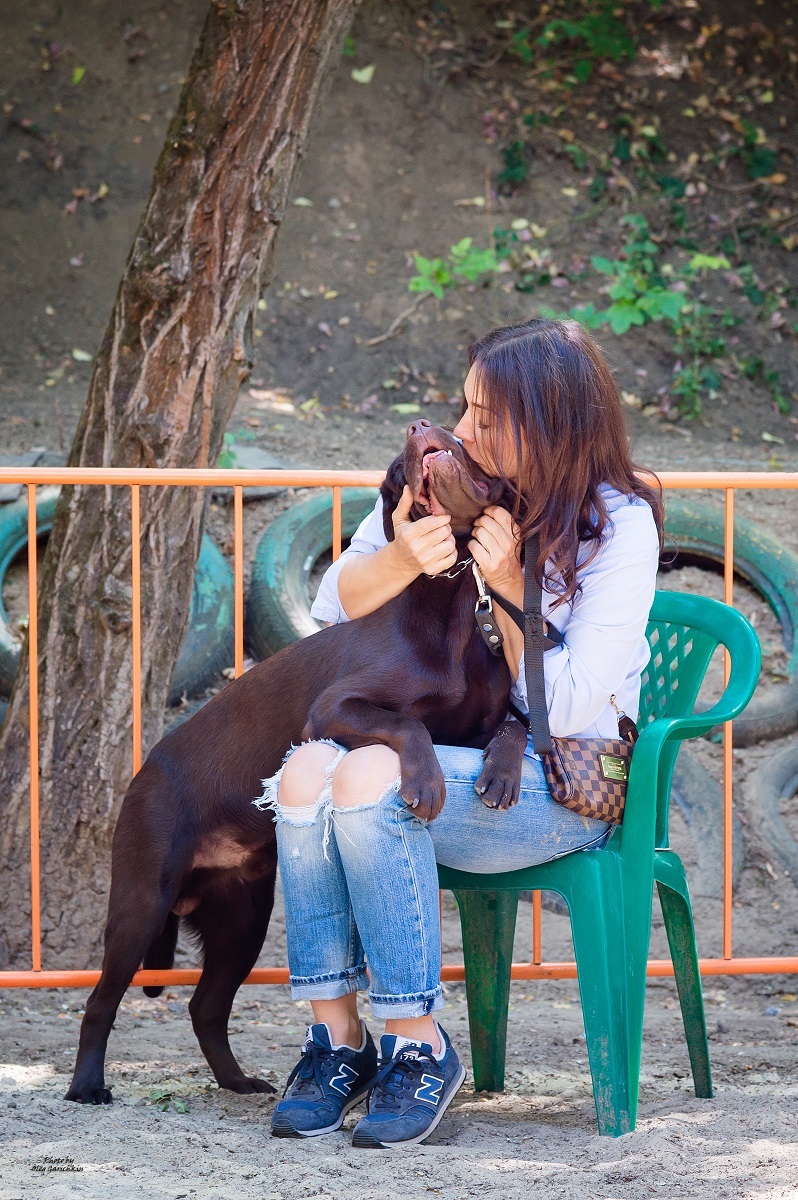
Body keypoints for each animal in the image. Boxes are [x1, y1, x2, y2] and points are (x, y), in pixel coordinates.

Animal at [65, 422, 525, 1104]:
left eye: (458, 436)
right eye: (398, 468)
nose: (418, 429)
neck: (449, 606)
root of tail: (144, 771)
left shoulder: (486, 719)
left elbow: (516, 727)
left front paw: (499, 776)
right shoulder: (336, 706)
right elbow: (407, 723)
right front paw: (424, 782)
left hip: (242, 921)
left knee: (205, 1007)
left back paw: (237, 1082)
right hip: (142, 901)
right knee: (101, 1001)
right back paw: (87, 1086)